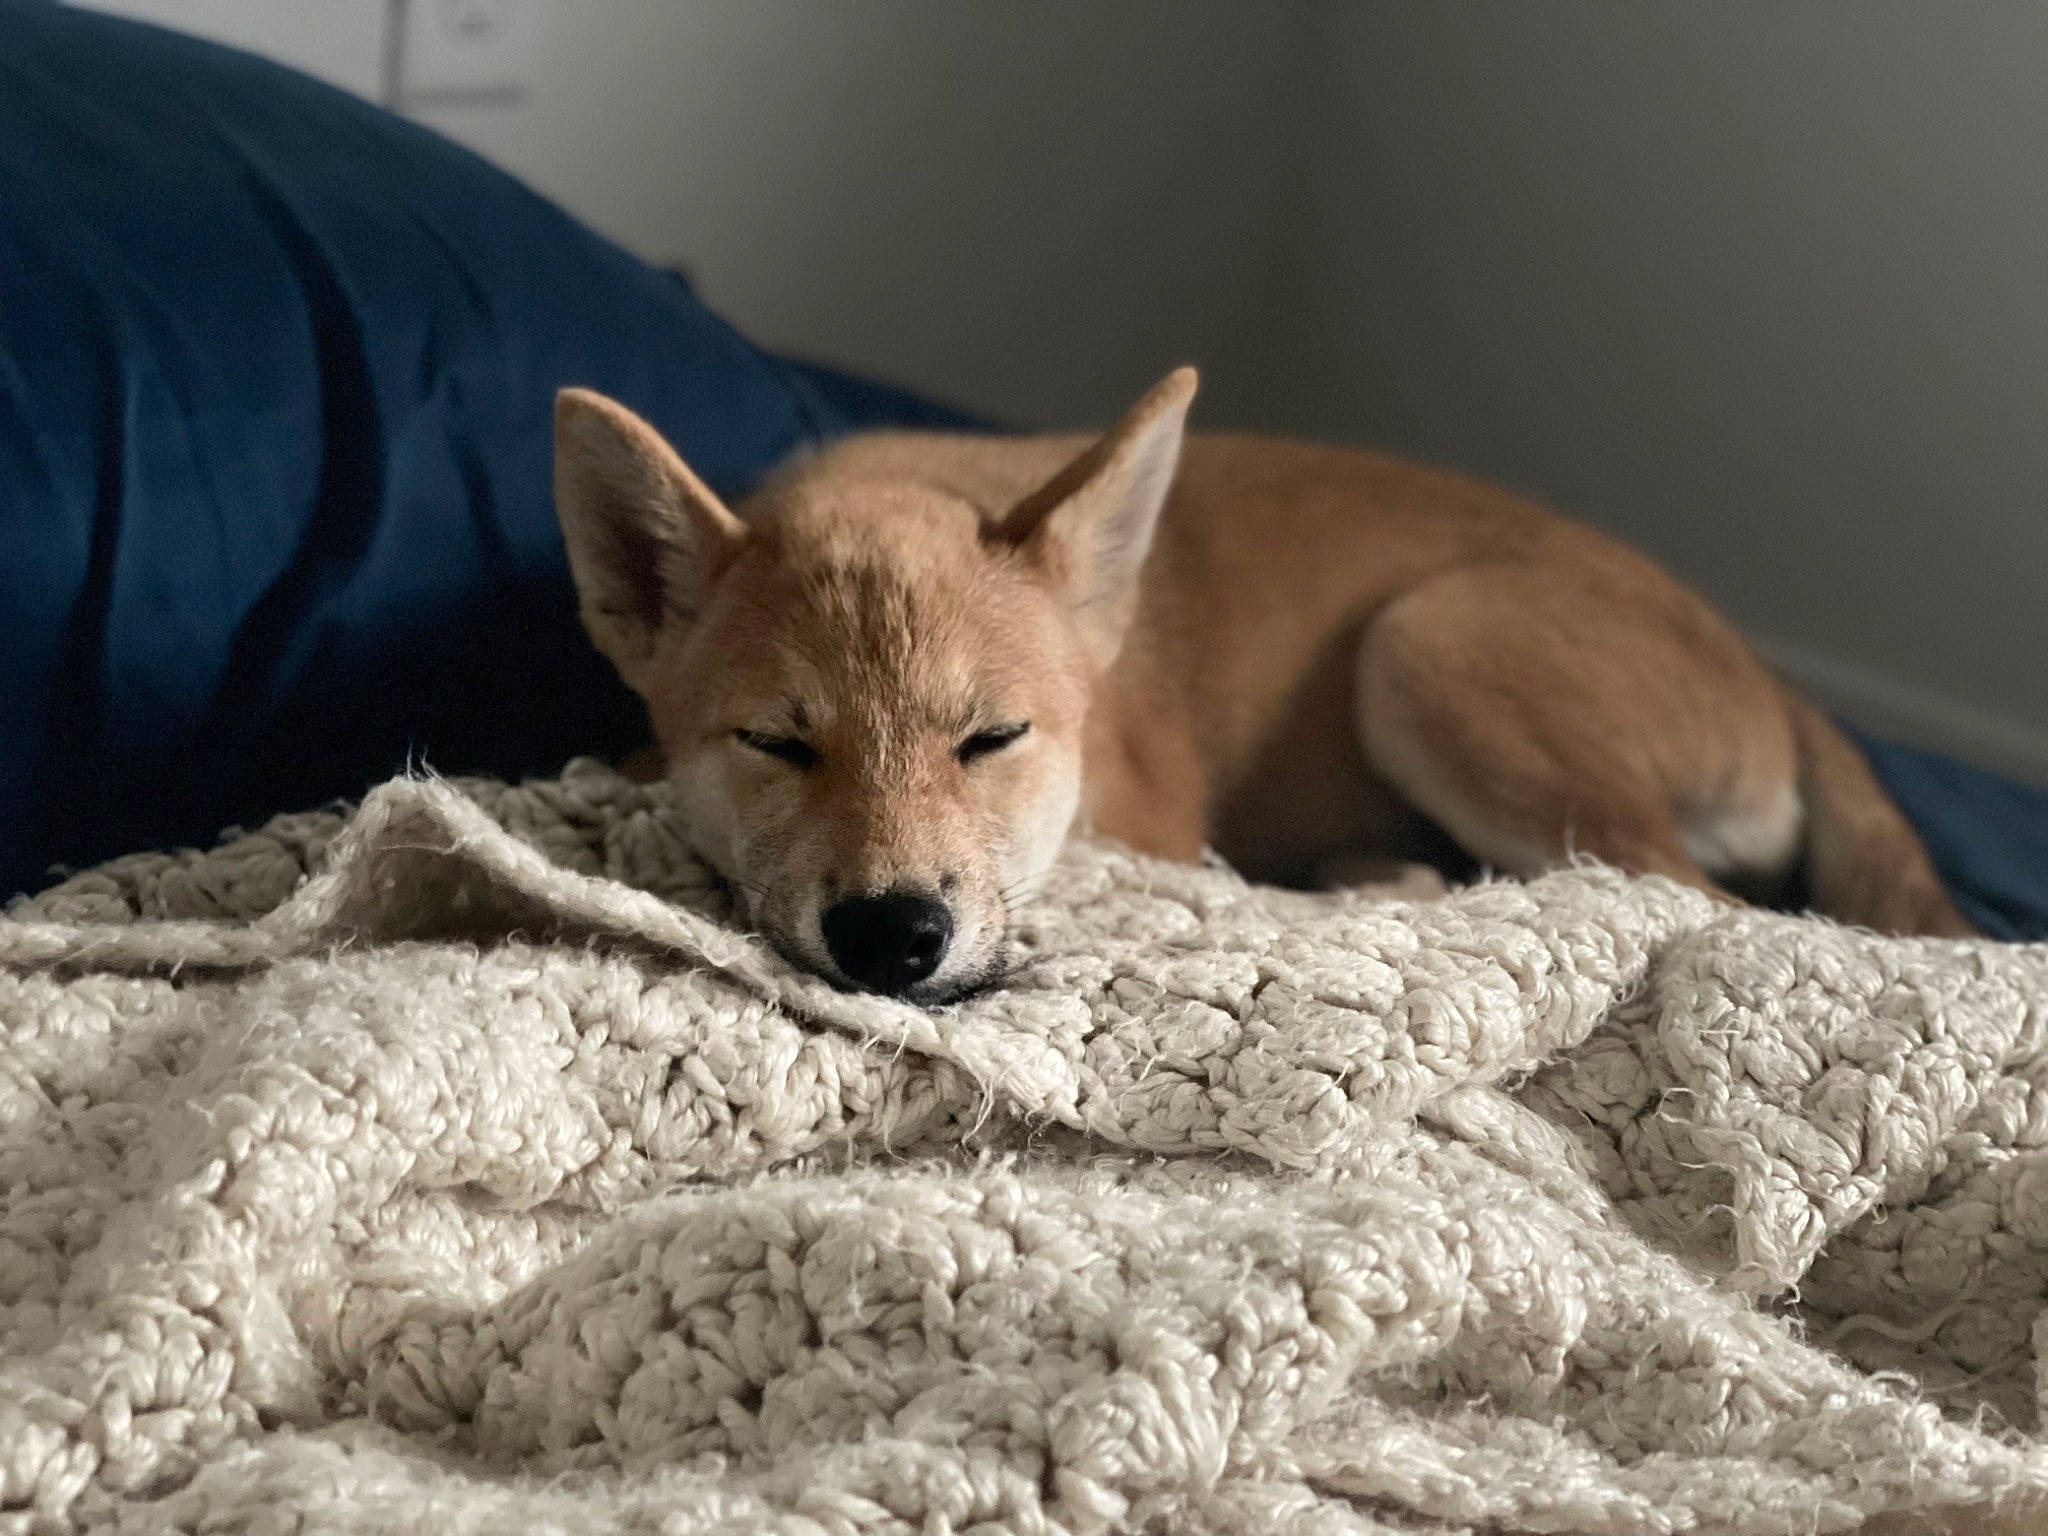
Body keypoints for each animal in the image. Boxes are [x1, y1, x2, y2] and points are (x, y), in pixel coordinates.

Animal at [551, 366, 1975, 1002]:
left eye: (992, 738)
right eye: (776, 743)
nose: (894, 937)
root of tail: (1783, 685)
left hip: (1426, 647)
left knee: (1684, 906)